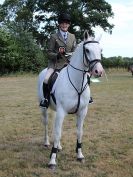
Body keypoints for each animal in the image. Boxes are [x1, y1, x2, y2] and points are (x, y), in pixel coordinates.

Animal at [37, 30, 104, 169]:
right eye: (87, 50)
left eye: (100, 49)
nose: (98, 71)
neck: (76, 82)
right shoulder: (62, 111)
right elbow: (58, 133)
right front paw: (52, 160)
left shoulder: (82, 112)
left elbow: (79, 132)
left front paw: (79, 155)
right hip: (44, 109)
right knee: (46, 124)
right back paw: (46, 142)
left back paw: (59, 146)